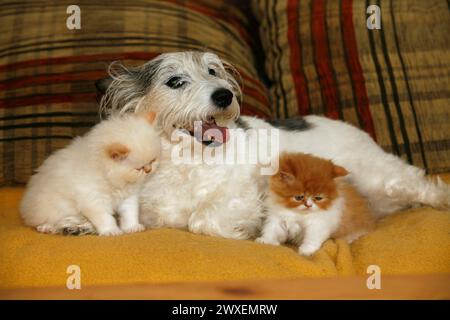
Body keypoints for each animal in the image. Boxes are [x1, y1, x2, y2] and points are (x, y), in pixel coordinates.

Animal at [21, 112, 162, 235]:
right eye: (139, 168)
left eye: (153, 160)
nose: (149, 170)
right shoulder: (93, 200)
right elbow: (105, 218)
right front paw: (111, 231)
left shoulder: (129, 198)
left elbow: (130, 214)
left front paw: (132, 228)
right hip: (53, 208)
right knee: (46, 219)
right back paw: (47, 227)